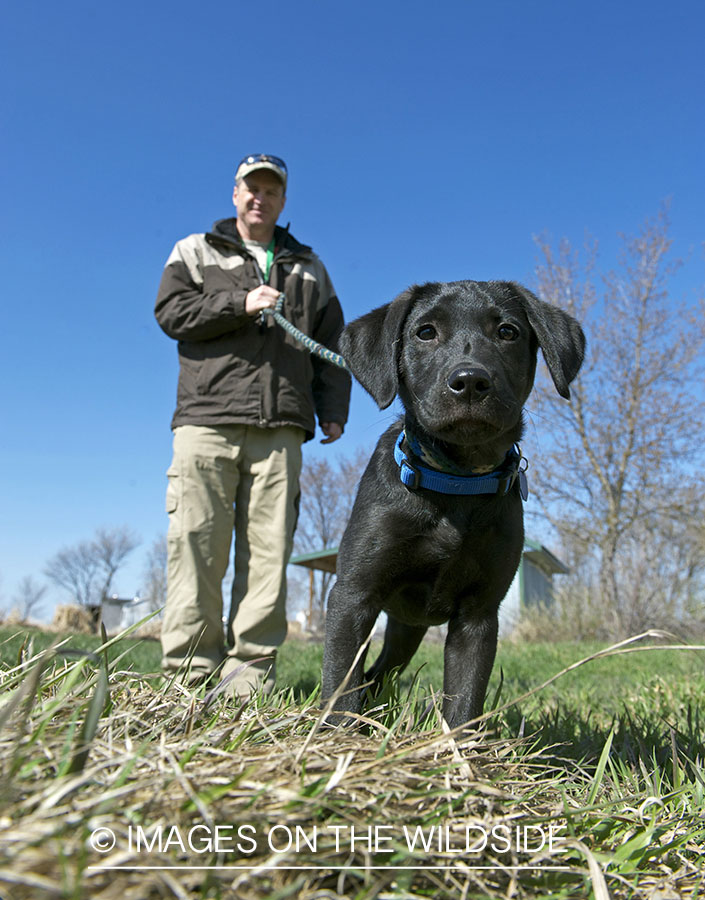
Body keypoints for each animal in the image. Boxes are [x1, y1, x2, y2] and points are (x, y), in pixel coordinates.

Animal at [320, 282, 584, 732]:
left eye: (508, 332)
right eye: (425, 333)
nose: (471, 381)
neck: (456, 483)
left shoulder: (479, 615)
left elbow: (464, 701)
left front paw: (458, 748)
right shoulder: (352, 596)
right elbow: (341, 686)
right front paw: (336, 741)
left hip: (406, 631)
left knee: (379, 675)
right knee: (368, 678)